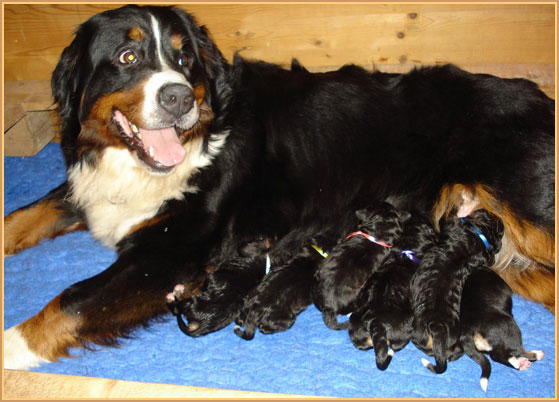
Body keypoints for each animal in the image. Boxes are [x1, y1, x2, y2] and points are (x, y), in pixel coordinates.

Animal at [412, 209, 504, 374]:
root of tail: (438, 327)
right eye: (498, 225)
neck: (479, 236)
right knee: (456, 351)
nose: (502, 222)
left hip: (418, 334)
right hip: (454, 337)